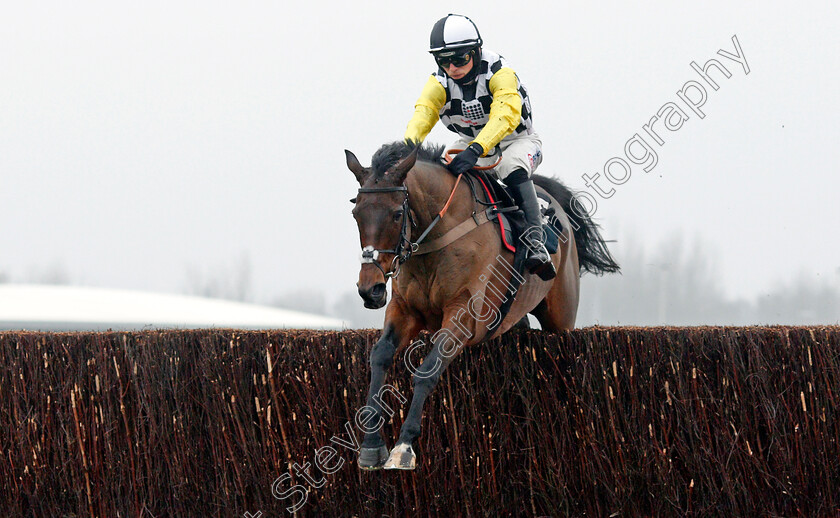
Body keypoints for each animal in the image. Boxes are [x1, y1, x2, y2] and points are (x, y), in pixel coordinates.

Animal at [344, 141, 620, 472]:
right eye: (356, 213)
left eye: (398, 213)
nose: (369, 289)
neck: (438, 237)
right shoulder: (403, 309)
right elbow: (380, 357)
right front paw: (371, 447)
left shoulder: (463, 317)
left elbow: (426, 371)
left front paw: (404, 447)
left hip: (562, 315)